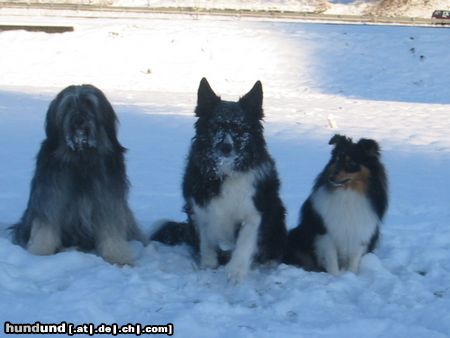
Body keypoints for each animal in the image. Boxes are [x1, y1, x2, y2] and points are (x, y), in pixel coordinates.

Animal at [11, 84, 143, 264]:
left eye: (89, 103)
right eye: (68, 106)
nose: (79, 119)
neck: (81, 158)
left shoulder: (108, 199)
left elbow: (111, 228)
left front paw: (117, 257)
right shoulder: (50, 196)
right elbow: (46, 226)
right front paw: (41, 254)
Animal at [151, 78, 284, 282]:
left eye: (240, 129)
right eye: (215, 126)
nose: (226, 148)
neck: (226, 171)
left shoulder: (255, 212)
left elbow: (245, 242)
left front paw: (236, 272)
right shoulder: (200, 208)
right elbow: (206, 241)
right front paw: (208, 265)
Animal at [286, 135, 388, 274]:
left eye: (351, 163)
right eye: (337, 160)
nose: (330, 177)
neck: (348, 192)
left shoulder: (359, 232)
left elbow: (354, 260)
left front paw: (351, 275)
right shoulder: (326, 234)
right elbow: (332, 260)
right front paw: (335, 276)